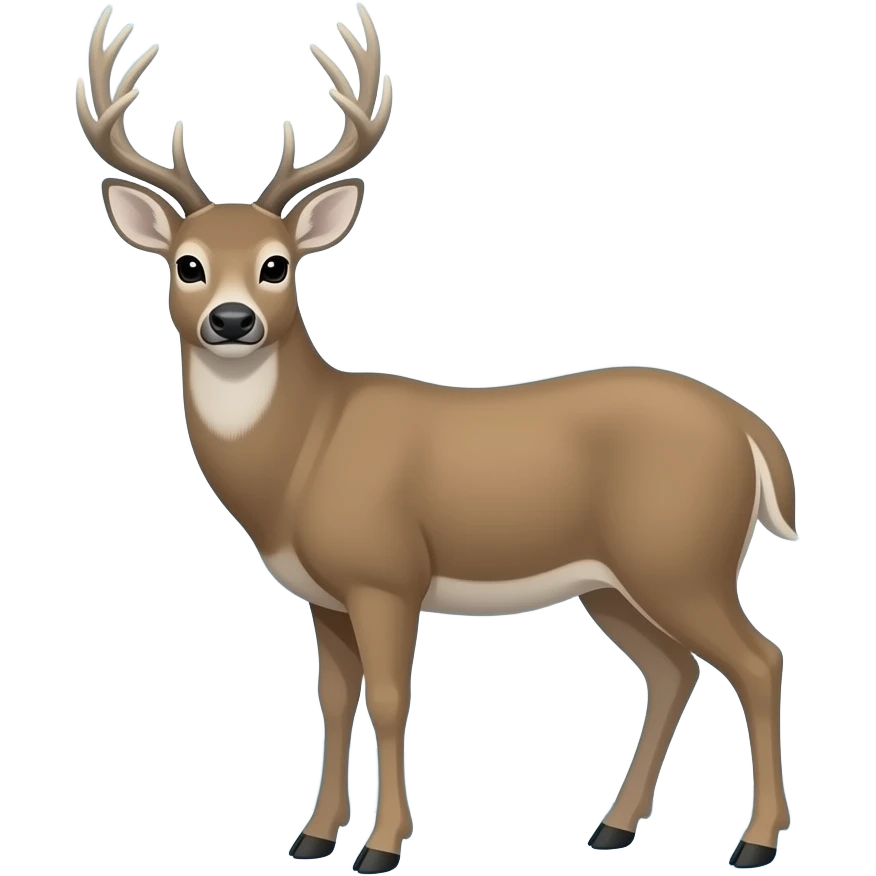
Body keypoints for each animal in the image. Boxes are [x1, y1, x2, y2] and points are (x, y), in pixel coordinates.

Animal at [75, 4, 797, 873]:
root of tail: (751, 427)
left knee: (759, 660)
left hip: (682, 557)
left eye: (278, 265)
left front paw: (382, 847)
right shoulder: (323, 595)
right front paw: (312, 837)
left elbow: (390, 700)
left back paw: (753, 843)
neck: (304, 454)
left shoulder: (387, 574)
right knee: (674, 670)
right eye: (187, 265)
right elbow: (333, 699)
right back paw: (613, 828)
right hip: (614, 581)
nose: (232, 319)